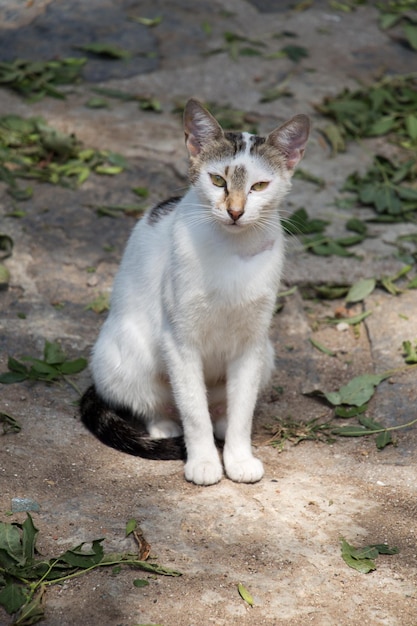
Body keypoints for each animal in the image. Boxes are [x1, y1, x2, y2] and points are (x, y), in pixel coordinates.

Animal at [80, 100, 308, 486]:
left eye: (260, 186)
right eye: (217, 180)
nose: (235, 211)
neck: (231, 250)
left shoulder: (252, 343)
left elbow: (243, 408)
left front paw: (238, 457)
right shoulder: (180, 339)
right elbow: (193, 410)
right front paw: (203, 461)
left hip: (267, 354)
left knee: (222, 408)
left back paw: (223, 423)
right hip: (121, 354)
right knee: (157, 404)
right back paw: (166, 427)